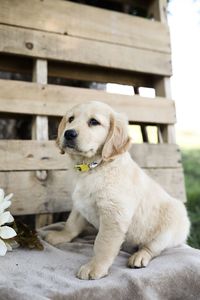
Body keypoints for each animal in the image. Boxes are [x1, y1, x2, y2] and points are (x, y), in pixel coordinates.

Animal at [45, 101, 191, 278]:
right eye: (70, 119)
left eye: (94, 122)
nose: (68, 134)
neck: (93, 167)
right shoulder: (80, 203)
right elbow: (71, 223)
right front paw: (61, 236)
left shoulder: (113, 214)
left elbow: (103, 243)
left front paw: (95, 267)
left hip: (169, 227)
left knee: (153, 248)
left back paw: (139, 256)